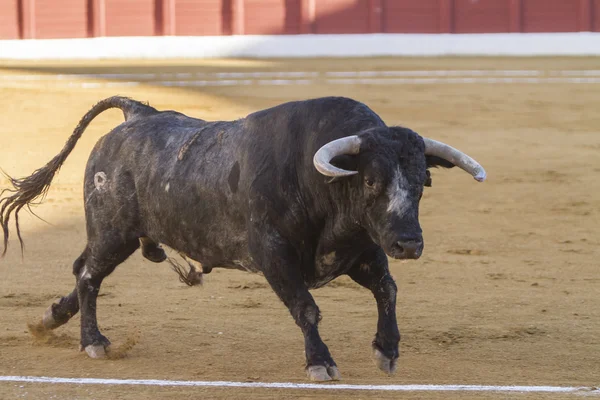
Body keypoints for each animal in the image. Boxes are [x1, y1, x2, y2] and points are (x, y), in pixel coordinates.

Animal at [0, 96, 486, 382]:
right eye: (370, 180)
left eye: (423, 182)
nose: (409, 244)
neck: (318, 181)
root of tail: (138, 114)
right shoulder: (274, 255)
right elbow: (307, 308)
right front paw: (320, 362)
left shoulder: (361, 250)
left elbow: (387, 289)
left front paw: (387, 350)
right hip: (113, 232)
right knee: (88, 275)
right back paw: (93, 343)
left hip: (117, 235)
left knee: (83, 270)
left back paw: (49, 320)